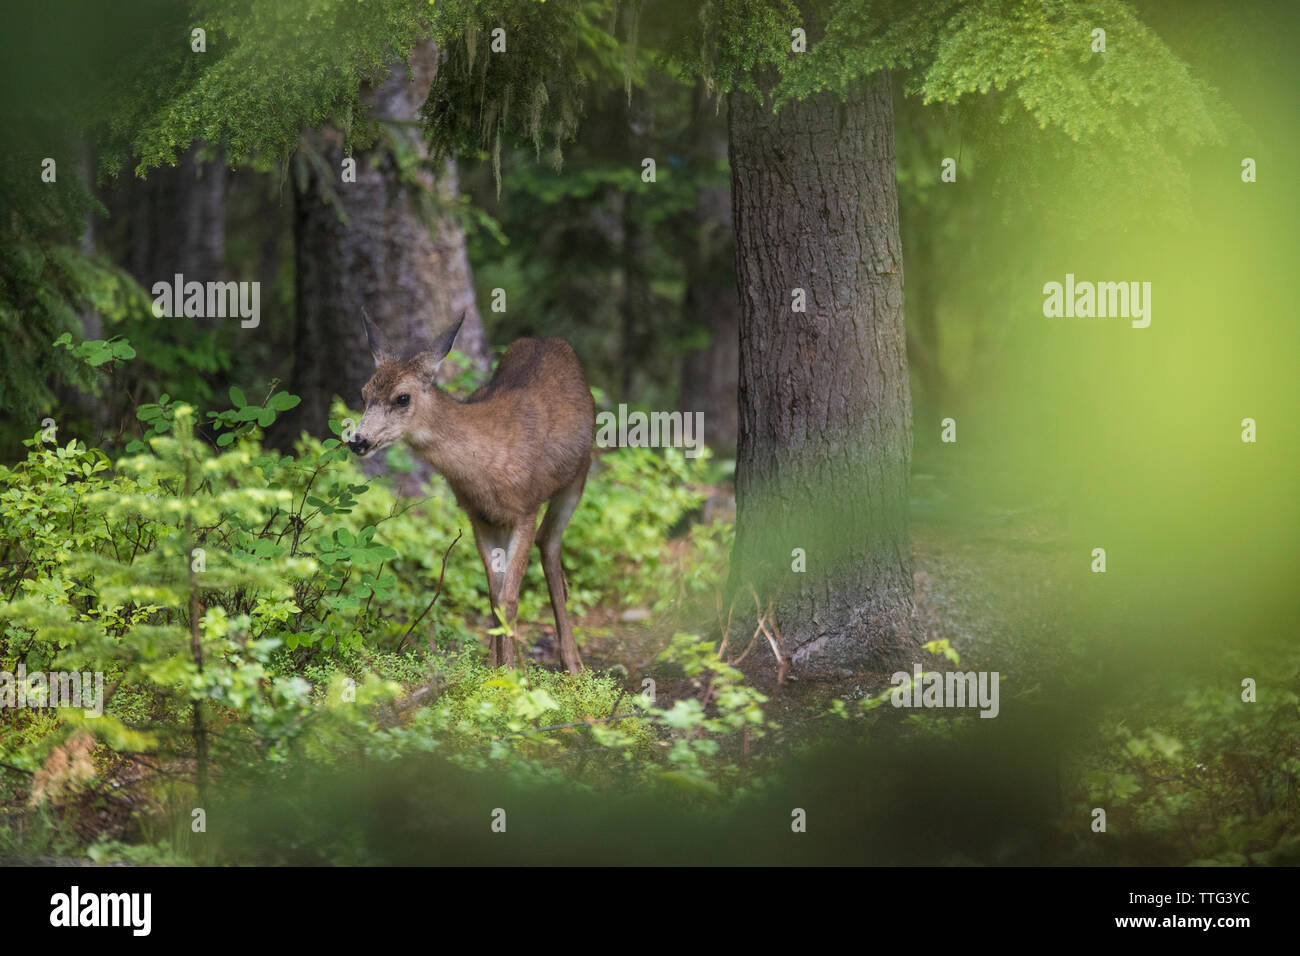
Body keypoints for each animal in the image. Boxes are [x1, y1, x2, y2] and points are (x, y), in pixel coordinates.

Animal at [343, 314, 592, 671]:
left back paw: (573, 663)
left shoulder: (525, 507)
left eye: (402, 397)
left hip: (578, 475)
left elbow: (510, 598)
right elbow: (494, 595)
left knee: (550, 543)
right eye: (364, 394)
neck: (484, 465)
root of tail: (546, 339)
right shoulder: (480, 516)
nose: (358, 441)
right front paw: (495, 670)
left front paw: (513, 675)